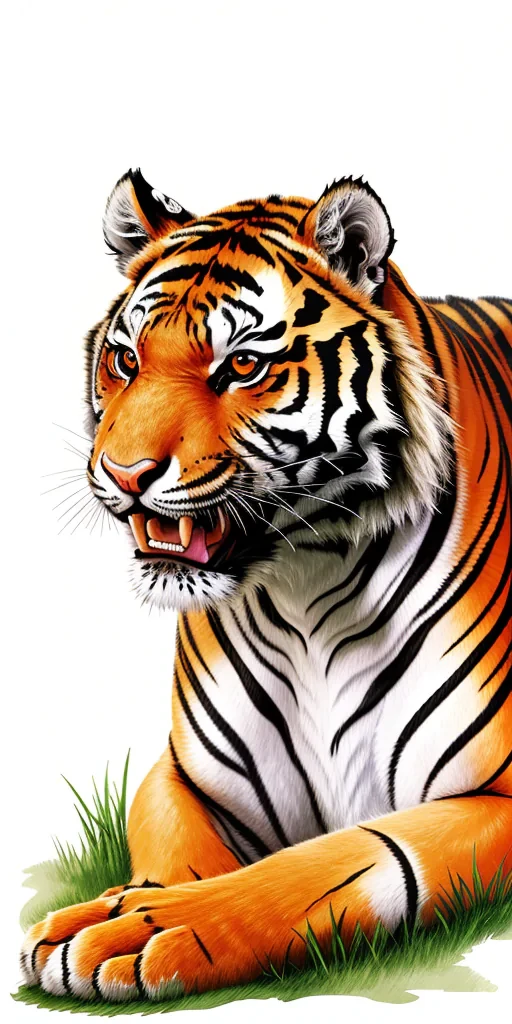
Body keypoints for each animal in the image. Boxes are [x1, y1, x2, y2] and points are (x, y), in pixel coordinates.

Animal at [22, 169, 511, 1003]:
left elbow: (333, 862)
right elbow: (176, 853)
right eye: (125, 360)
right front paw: (128, 906)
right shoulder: (182, 777)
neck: (312, 583)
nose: (123, 472)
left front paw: (143, 929)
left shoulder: (499, 797)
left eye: (242, 368)